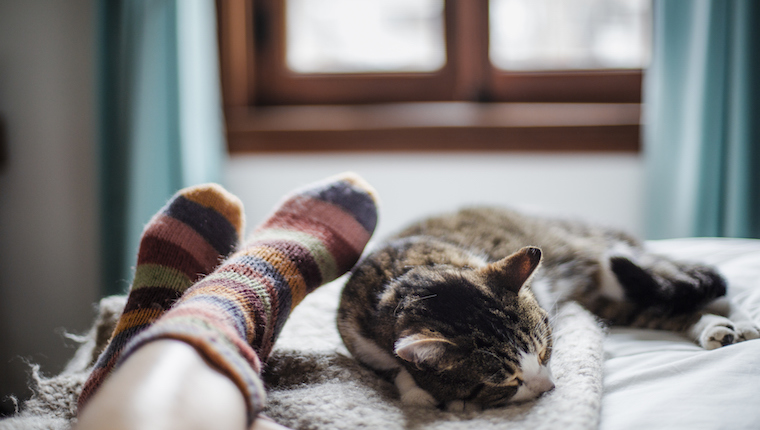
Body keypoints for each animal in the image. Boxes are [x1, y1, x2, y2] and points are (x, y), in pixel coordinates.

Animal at [338, 207, 760, 412]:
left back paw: (737, 322)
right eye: (506, 382)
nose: (549, 388)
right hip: (607, 297)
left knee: (691, 284)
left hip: (608, 259)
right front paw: (418, 392)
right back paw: (715, 329)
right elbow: (394, 366)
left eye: (545, 352)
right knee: (660, 306)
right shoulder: (356, 336)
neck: (408, 272)